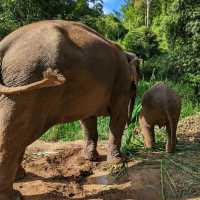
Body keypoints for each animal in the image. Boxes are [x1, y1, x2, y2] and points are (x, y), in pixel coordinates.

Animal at [0, 20, 139, 200]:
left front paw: (91, 159)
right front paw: (119, 161)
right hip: (28, 83)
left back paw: (20, 177)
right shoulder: (121, 82)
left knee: (19, 132)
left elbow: (88, 118)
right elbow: (118, 117)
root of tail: (6, 43)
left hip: (19, 83)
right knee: (18, 132)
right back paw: (13, 195)